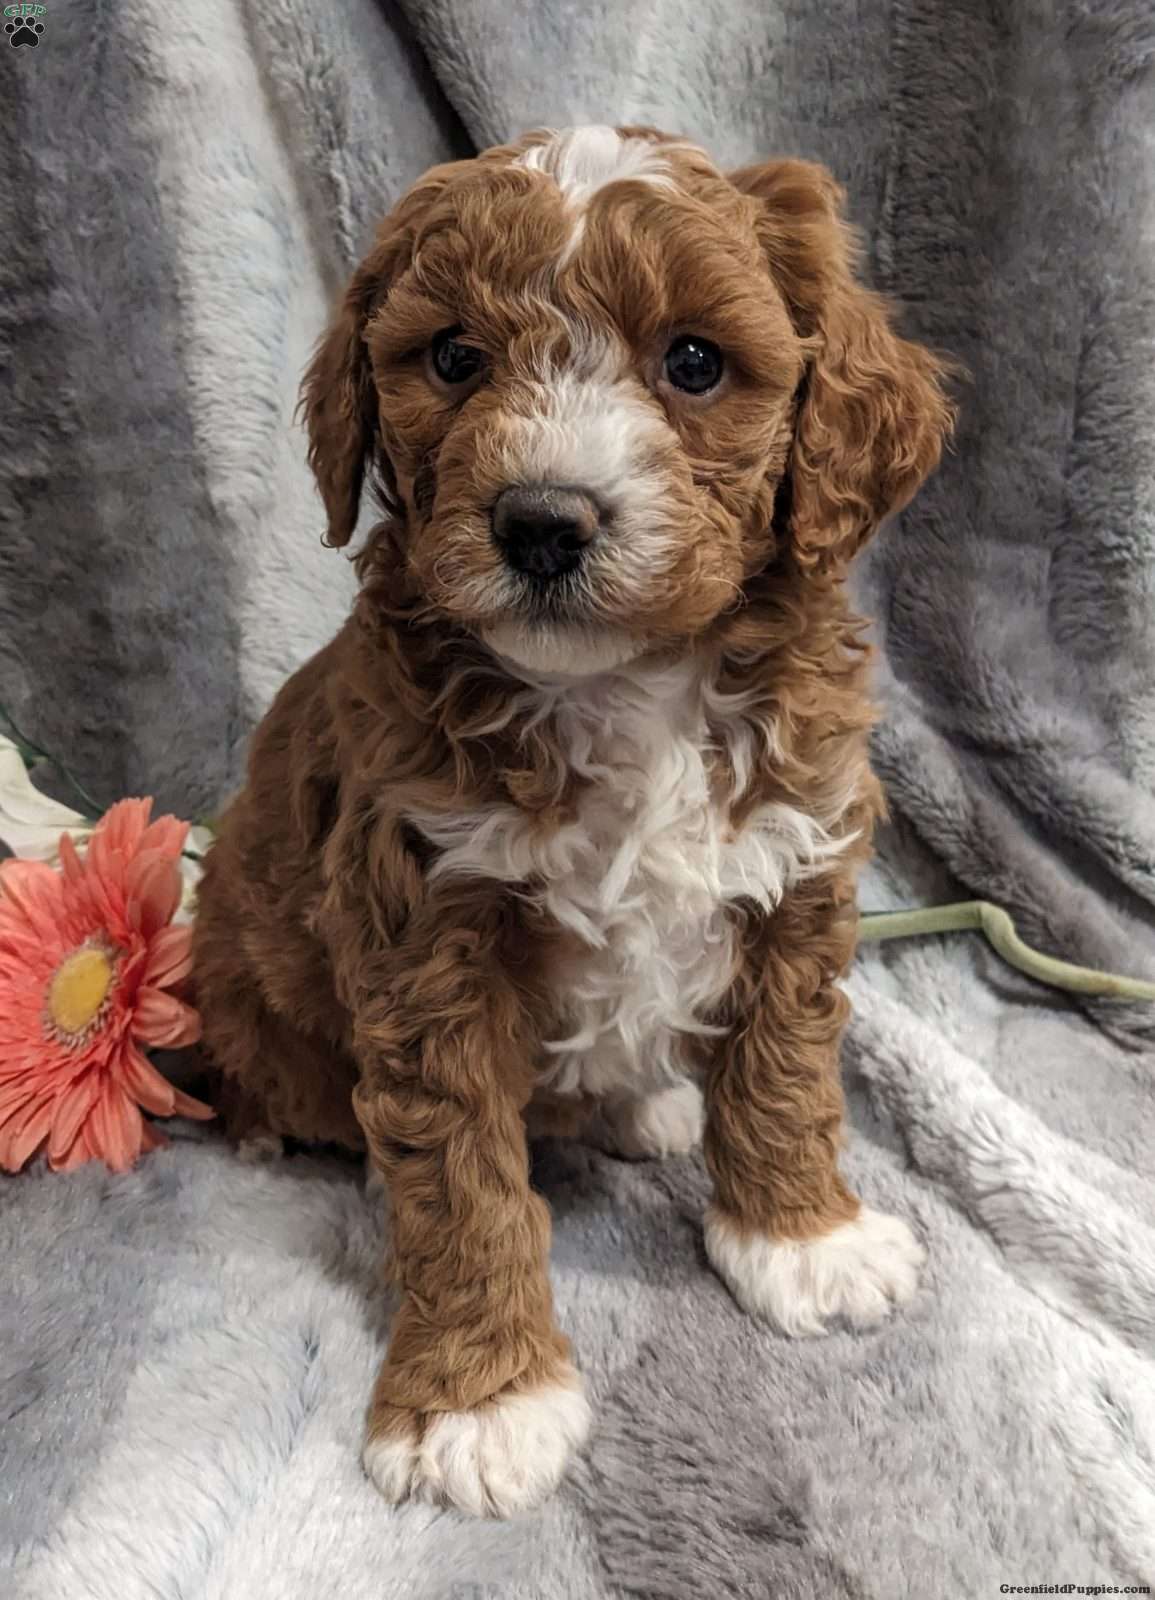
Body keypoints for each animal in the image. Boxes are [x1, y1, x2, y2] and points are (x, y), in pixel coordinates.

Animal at [191, 124, 953, 1517]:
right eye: (453, 358)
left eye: (695, 361)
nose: (542, 521)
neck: (624, 685)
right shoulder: (424, 920)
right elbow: (457, 1175)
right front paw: (480, 1400)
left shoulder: (796, 857)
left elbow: (787, 1065)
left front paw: (800, 1237)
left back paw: (650, 1105)